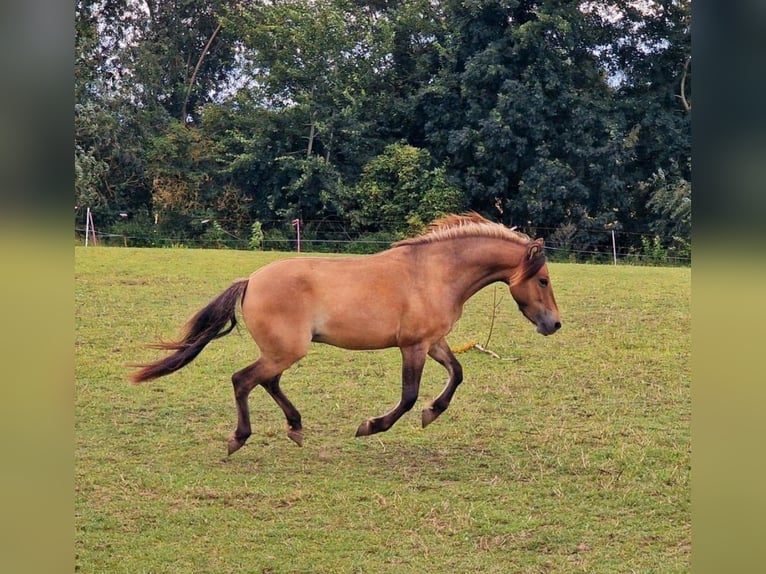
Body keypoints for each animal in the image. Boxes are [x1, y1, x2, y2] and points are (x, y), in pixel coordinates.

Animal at [130, 214, 564, 456]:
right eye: (543, 280)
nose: (554, 324)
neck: (434, 273)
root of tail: (250, 280)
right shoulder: (413, 347)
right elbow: (408, 397)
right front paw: (370, 426)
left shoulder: (433, 342)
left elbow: (457, 374)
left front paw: (432, 413)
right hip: (286, 350)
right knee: (243, 380)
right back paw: (241, 437)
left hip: (283, 351)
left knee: (266, 382)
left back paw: (295, 427)